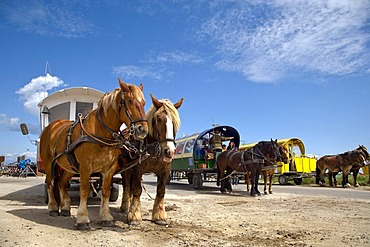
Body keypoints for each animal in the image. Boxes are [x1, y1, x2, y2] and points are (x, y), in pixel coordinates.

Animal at [40, 78, 149, 230]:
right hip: (49, 163)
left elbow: (106, 191)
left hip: (70, 167)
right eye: (129, 101)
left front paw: (106, 217)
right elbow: (84, 190)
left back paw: (66, 208)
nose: (142, 130)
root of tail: (52, 126)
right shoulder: (85, 167)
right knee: (50, 183)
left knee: (61, 182)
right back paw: (53, 208)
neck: (100, 132)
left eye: (143, 102)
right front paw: (82, 219)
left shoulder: (109, 169)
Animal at [119, 94, 183, 226]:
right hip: (126, 170)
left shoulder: (165, 171)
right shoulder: (137, 169)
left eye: (175, 122)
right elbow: (137, 190)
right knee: (127, 187)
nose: (170, 151)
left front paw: (159, 216)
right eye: (158, 119)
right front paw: (135, 216)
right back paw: (125, 207)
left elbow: (161, 191)